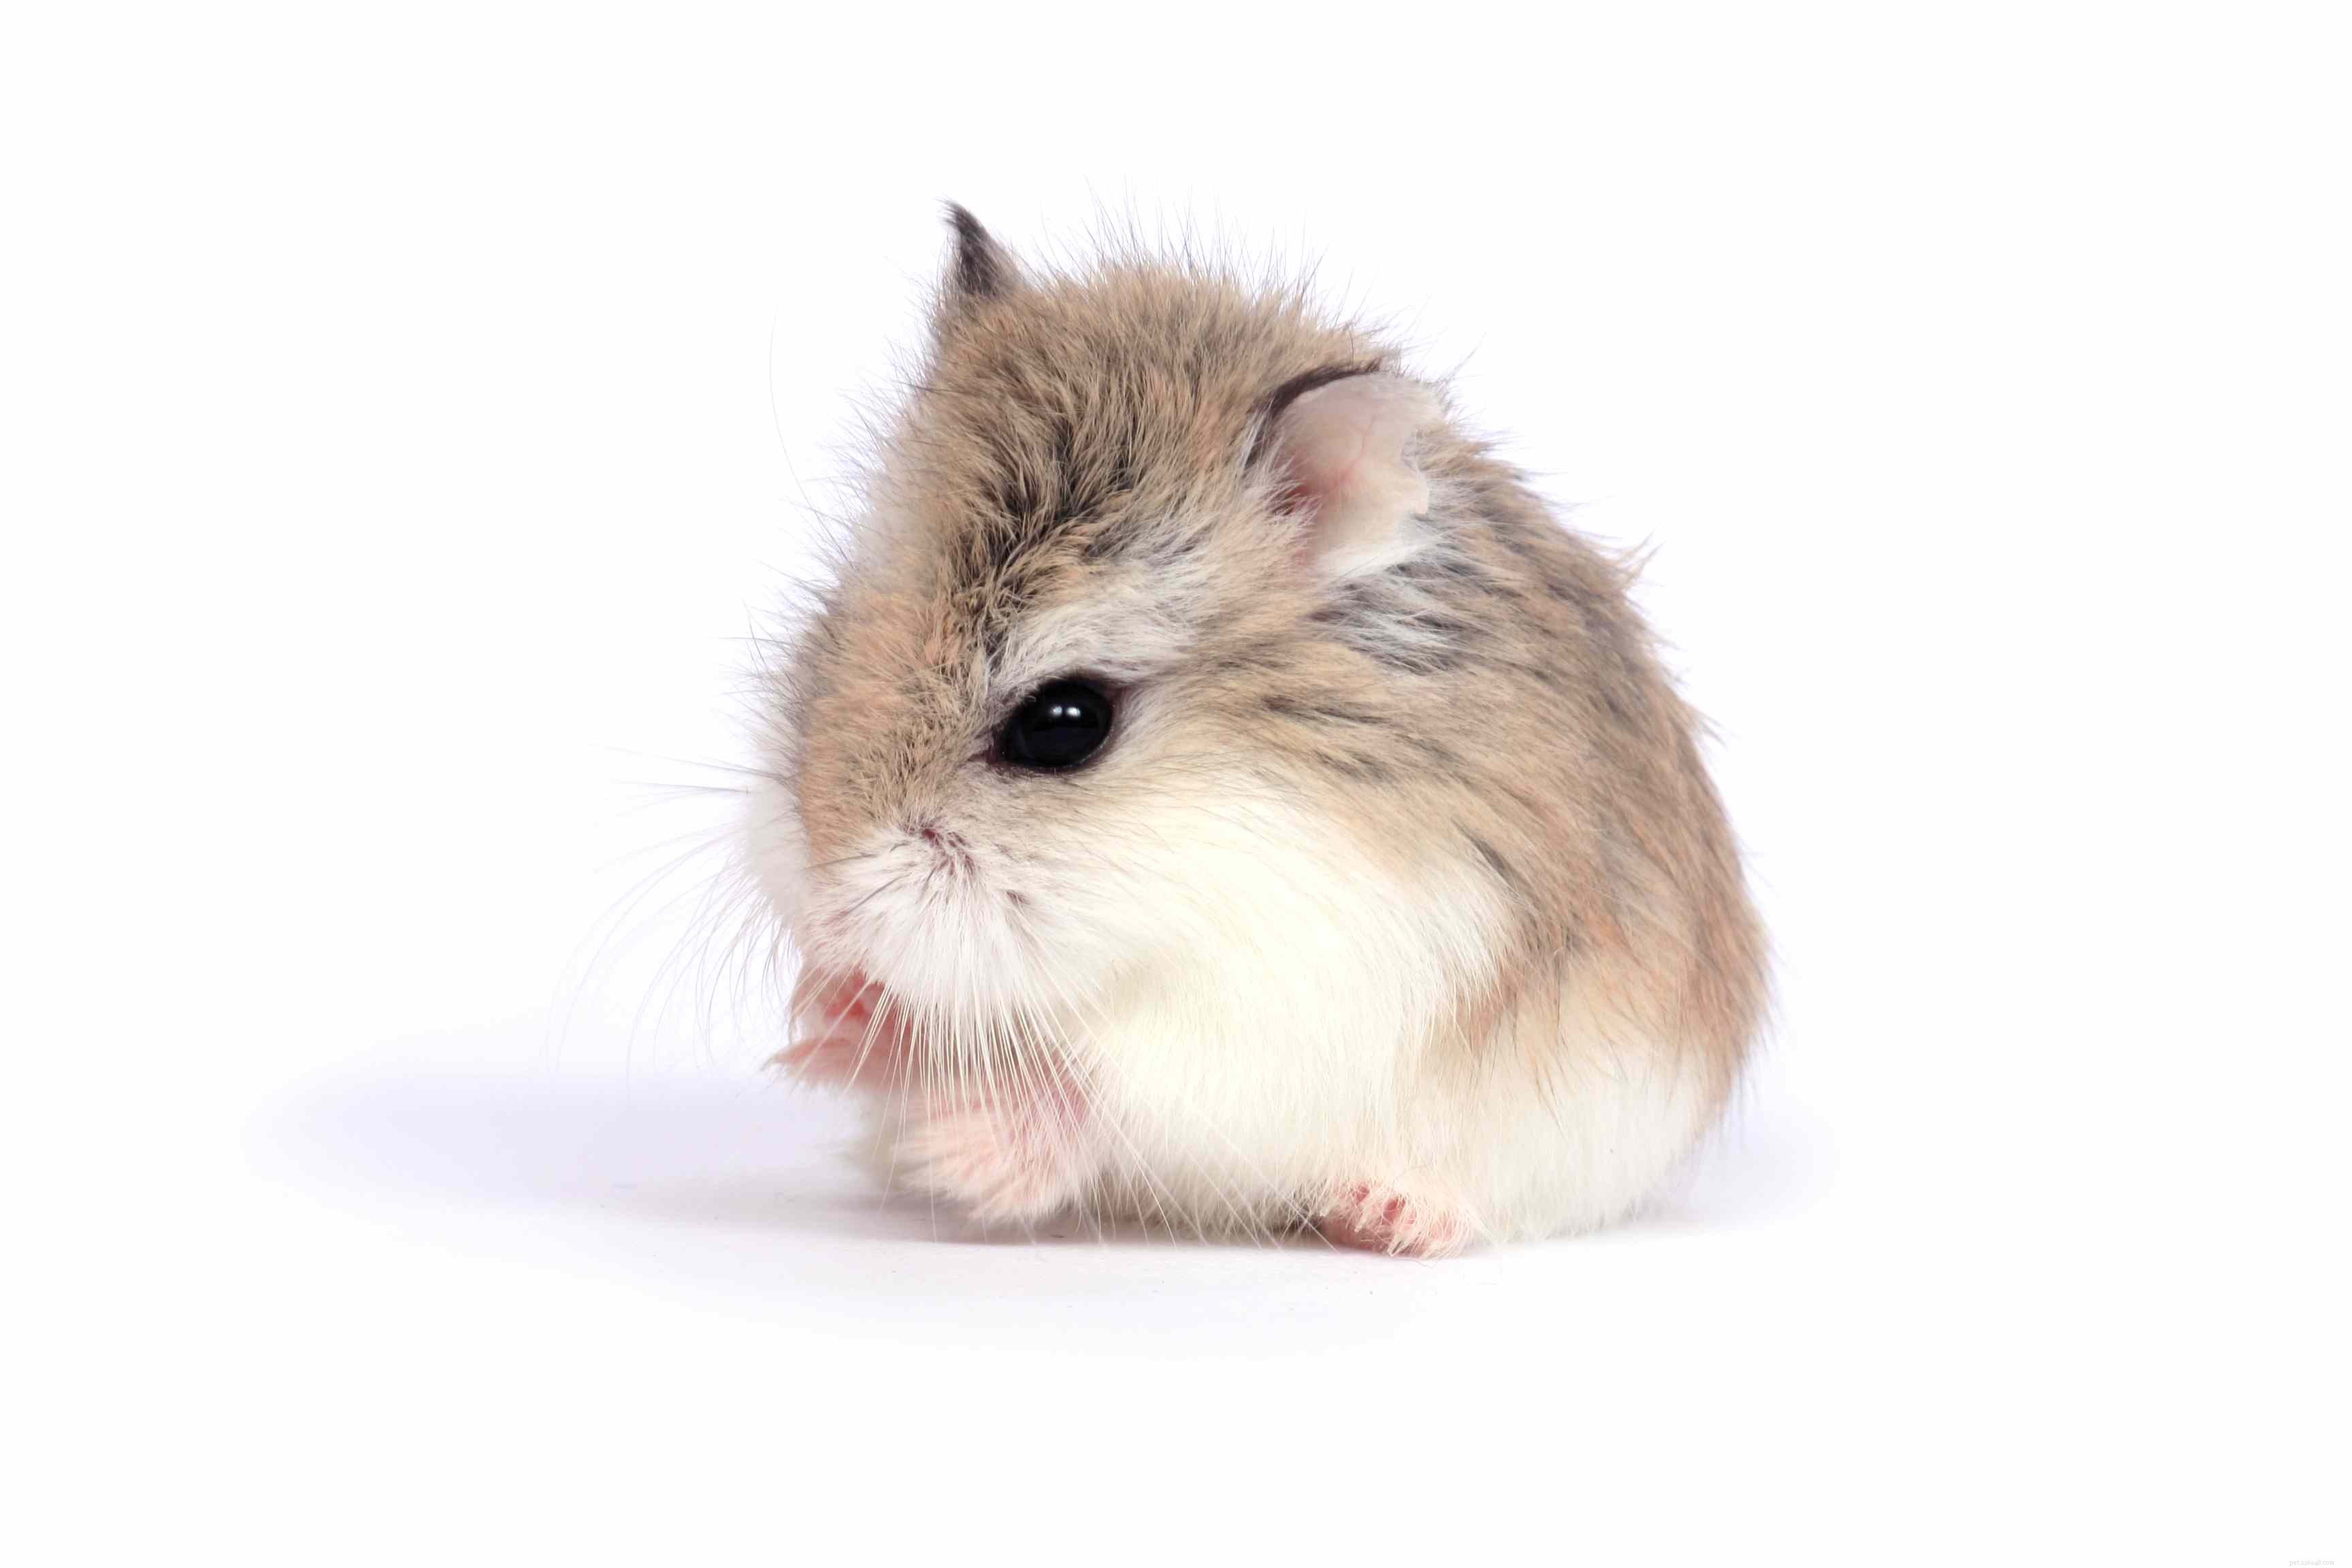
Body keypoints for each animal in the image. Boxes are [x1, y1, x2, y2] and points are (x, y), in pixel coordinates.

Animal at [745, 207, 1765, 1254]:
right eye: (838, 625)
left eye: (1065, 724)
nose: (824, 911)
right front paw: (832, 1015)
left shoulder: (1289, 1000)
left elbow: (1105, 1090)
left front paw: (960, 1152)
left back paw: (1387, 1214)